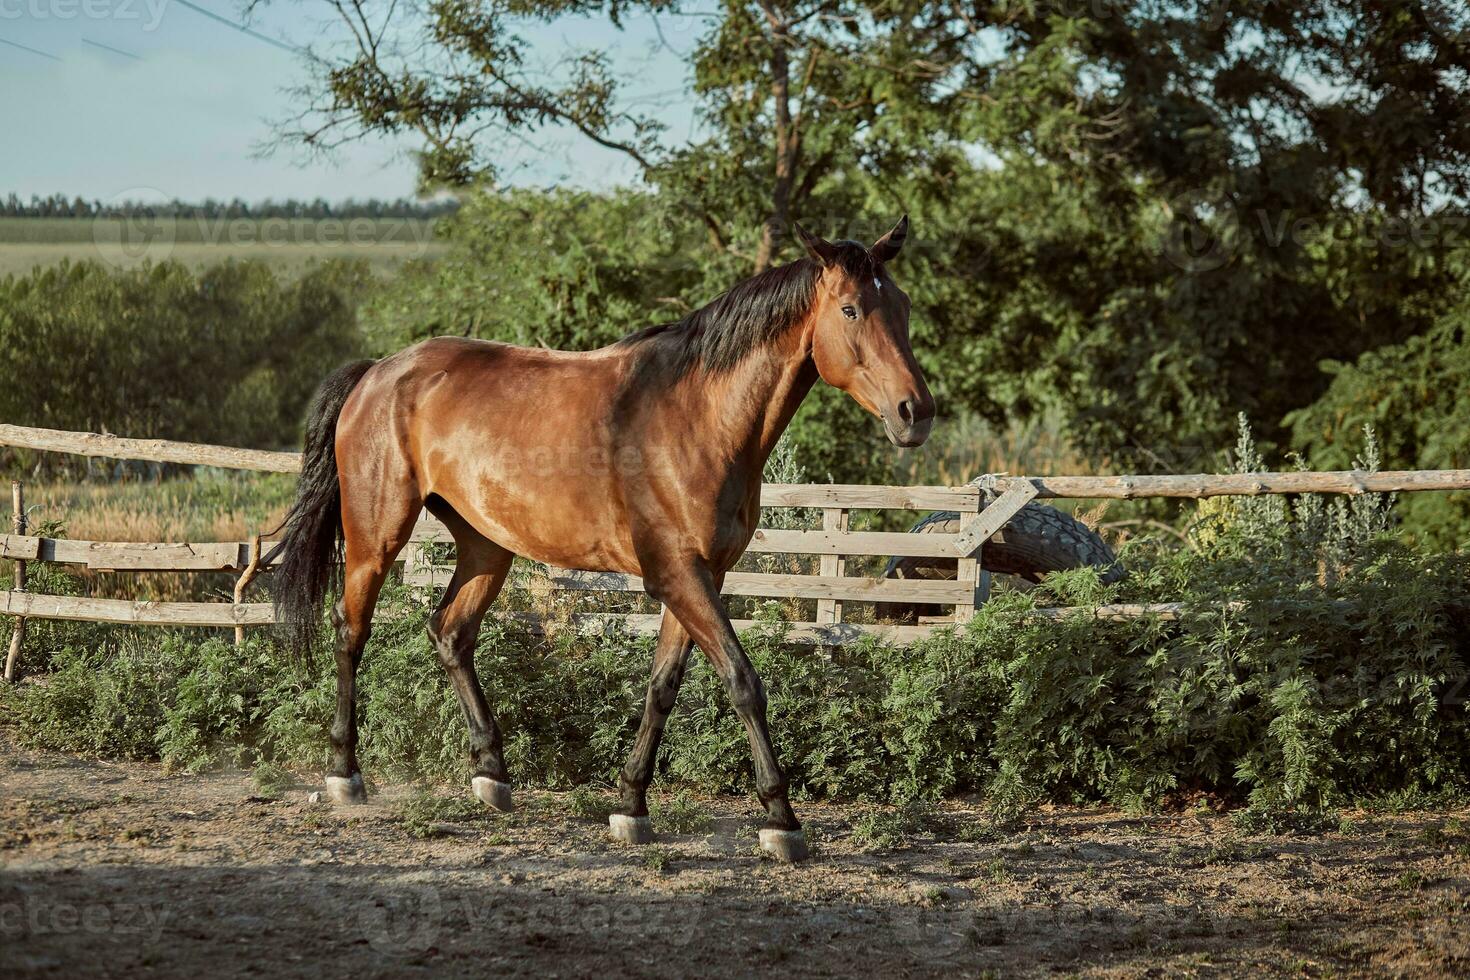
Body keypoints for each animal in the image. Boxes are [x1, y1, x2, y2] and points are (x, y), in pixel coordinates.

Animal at [264, 218, 929, 863]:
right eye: (850, 309)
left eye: (900, 304)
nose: (915, 412)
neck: (695, 415)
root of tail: (378, 374)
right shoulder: (678, 576)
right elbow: (743, 682)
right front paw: (781, 820)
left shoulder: (698, 578)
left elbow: (663, 688)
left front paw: (631, 806)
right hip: (376, 538)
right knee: (351, 632)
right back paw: (345, 774)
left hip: (485, 546)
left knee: (450, 632)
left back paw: (492, 774)